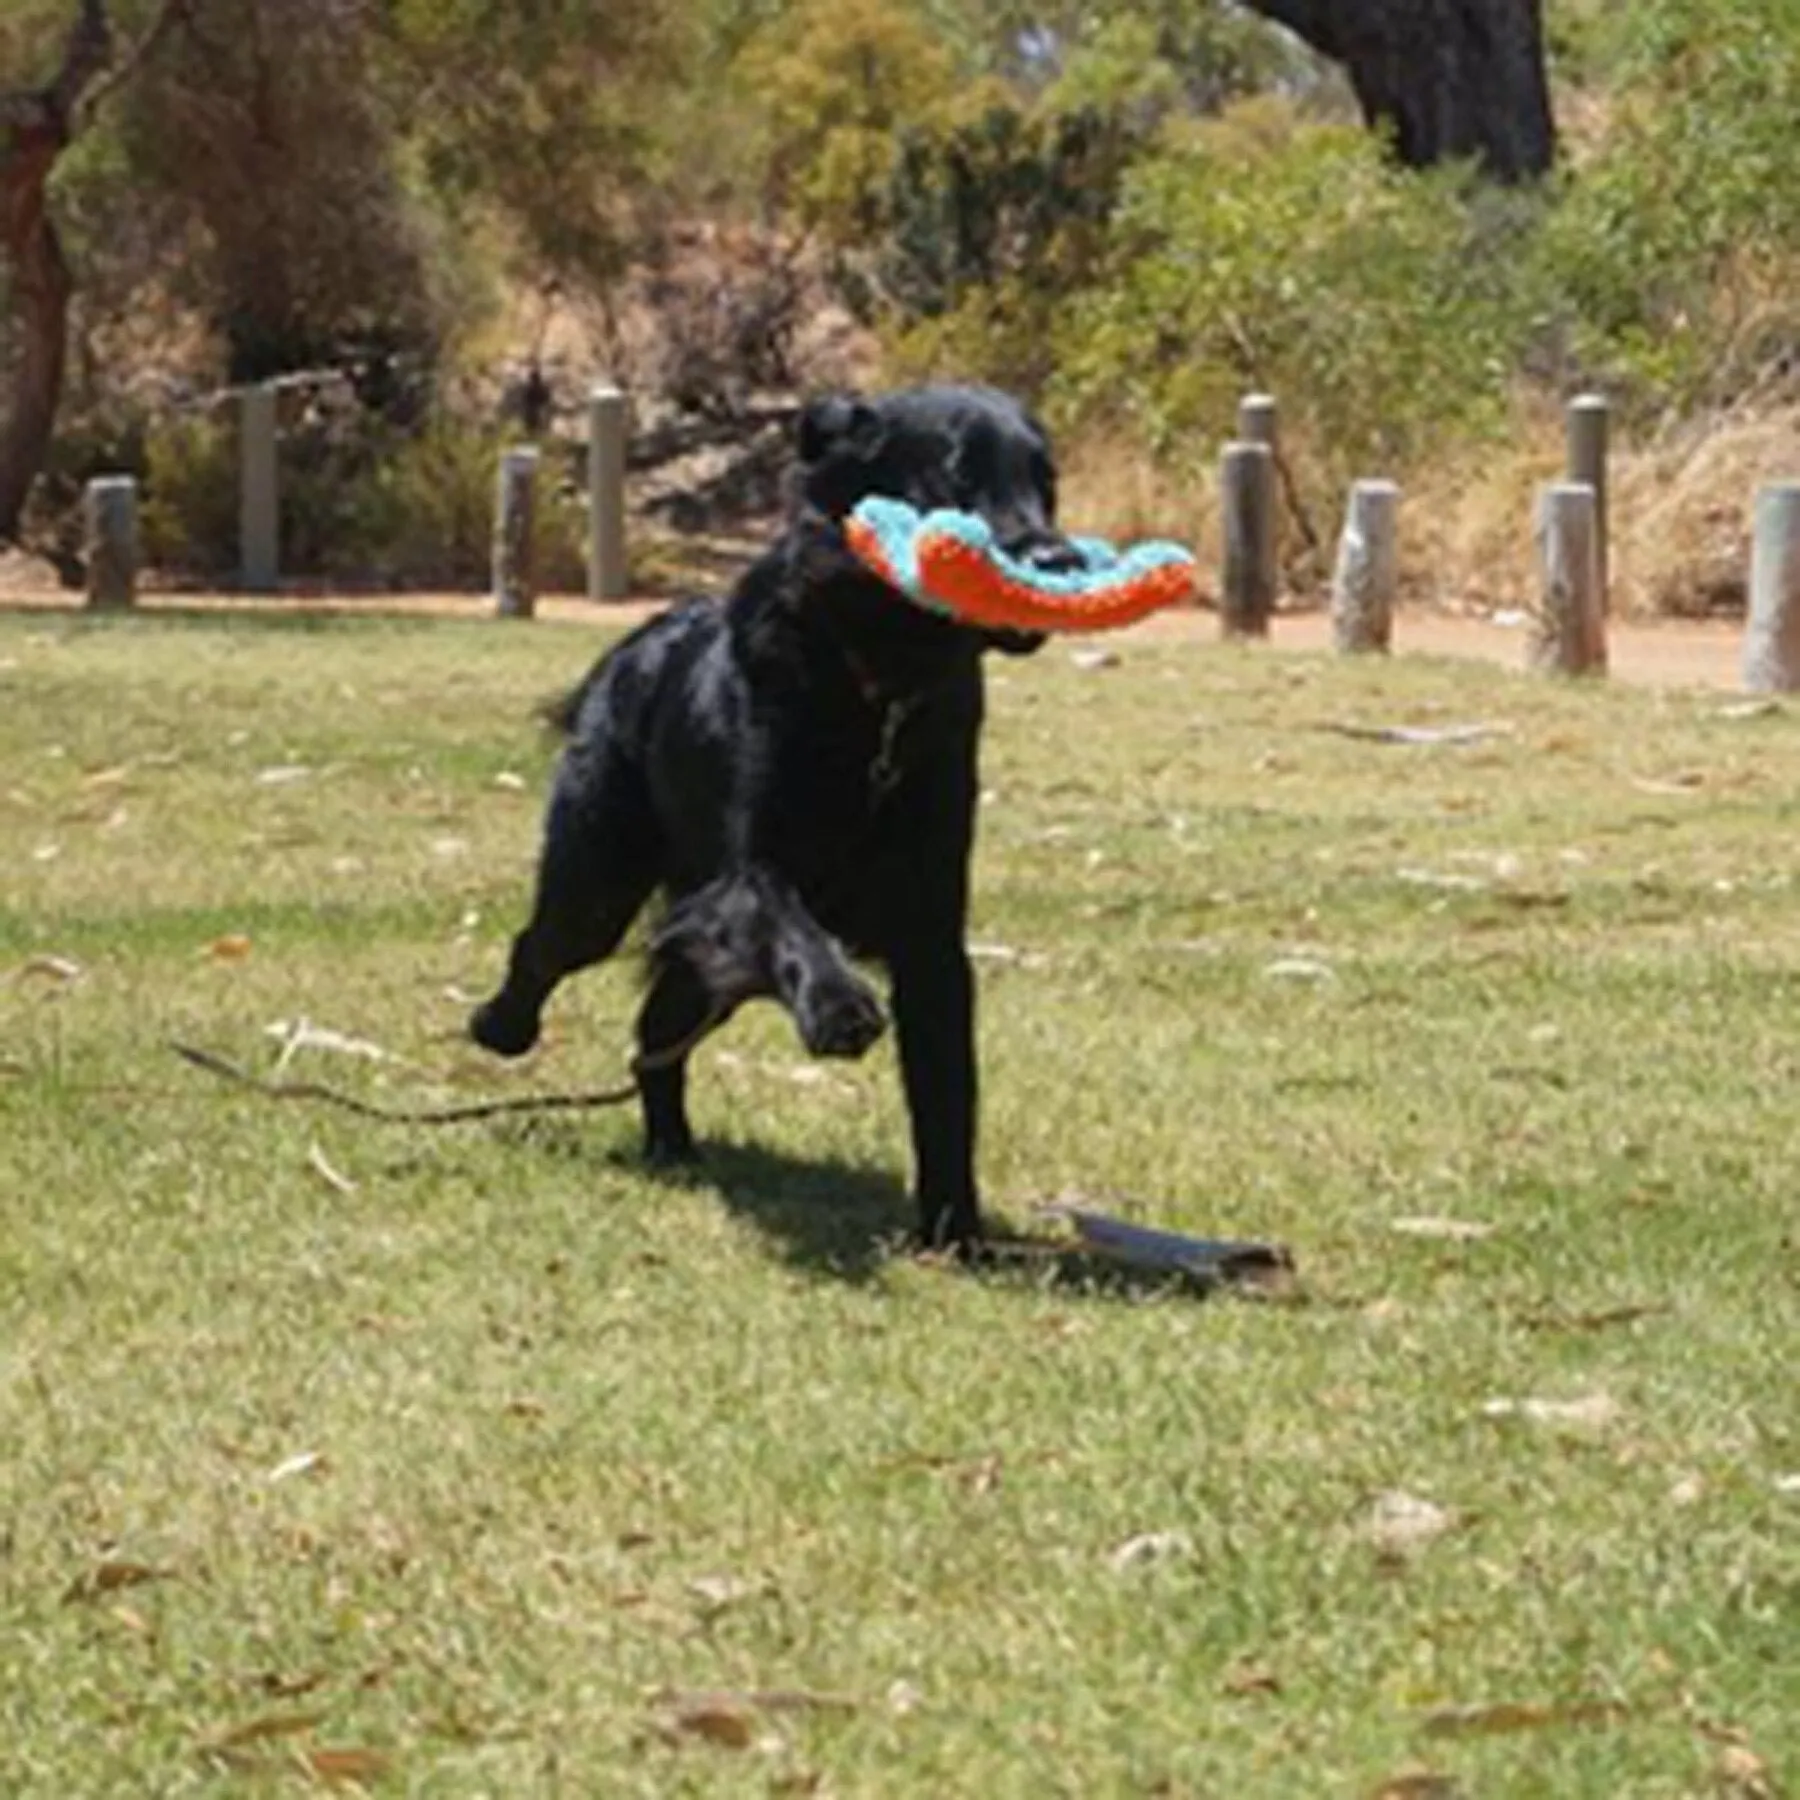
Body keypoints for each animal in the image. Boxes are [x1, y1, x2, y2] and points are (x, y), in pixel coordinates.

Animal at [471, 383, 1072, 1252]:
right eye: (957, 478)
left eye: (1046, 483)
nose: (1059, 562)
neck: (876, 687)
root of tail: (635, 643)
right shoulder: (744, 874)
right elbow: (790, 921)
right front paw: (840, 1006)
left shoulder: (931, 925)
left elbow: (947, 1088)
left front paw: (954, 1231)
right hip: (598, 880)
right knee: (546, 949)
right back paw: (500, 1026)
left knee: (657, 1027)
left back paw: (672, 1145)